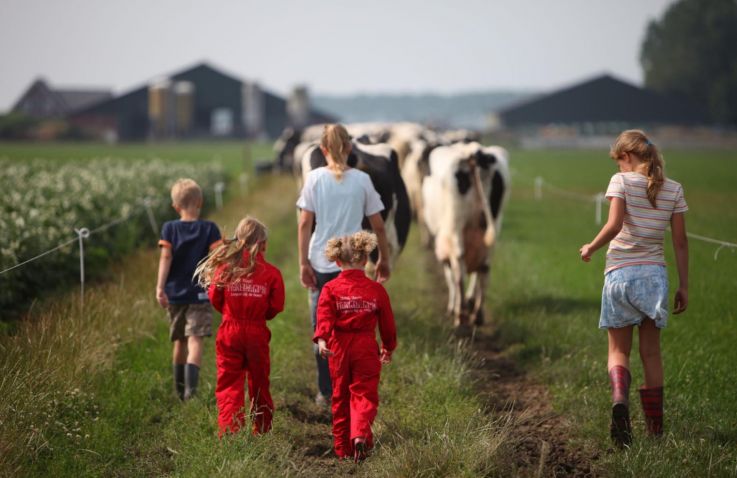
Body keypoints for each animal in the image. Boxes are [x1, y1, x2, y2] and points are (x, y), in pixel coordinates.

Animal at [422, 140, 508, 330]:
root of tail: (475, 152)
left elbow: (450, 278)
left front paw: (452, 307)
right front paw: (470, 301)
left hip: (455, 231)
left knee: (459, 273)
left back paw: (460, 316)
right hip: (490, 231)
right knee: (484, 270)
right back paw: (477, 315)